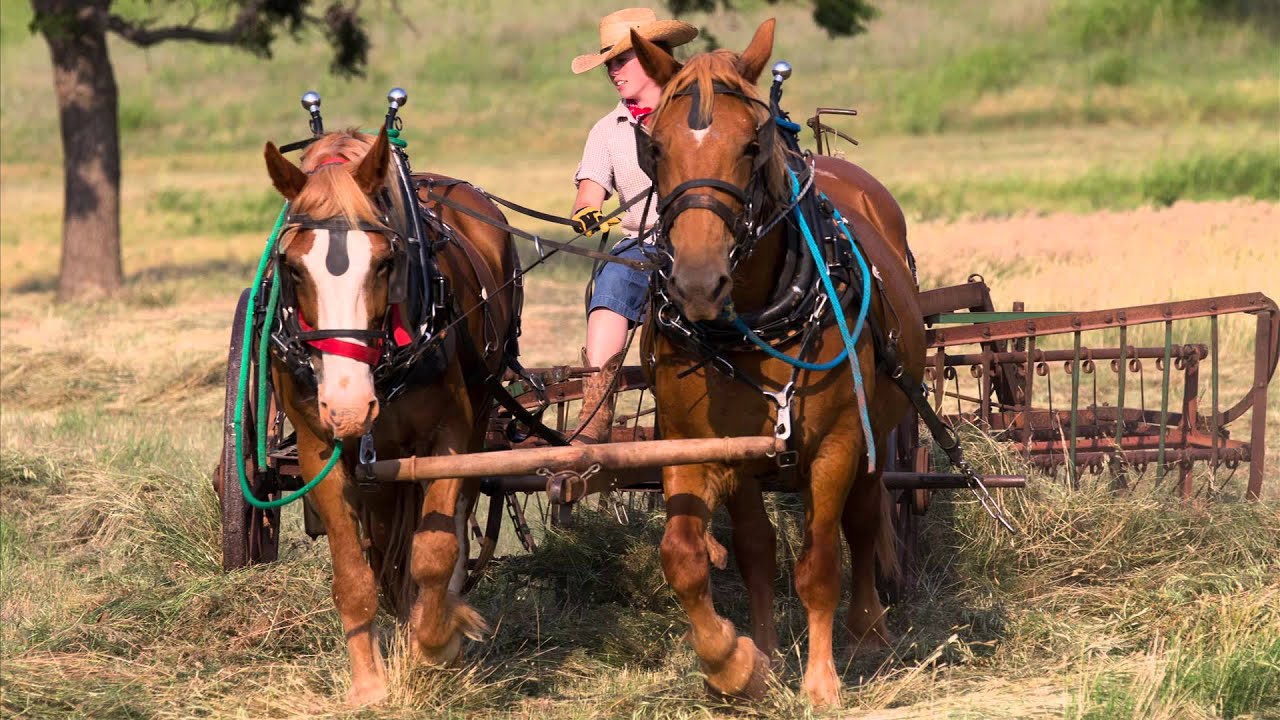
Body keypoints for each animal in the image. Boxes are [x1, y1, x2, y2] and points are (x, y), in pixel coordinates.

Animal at [261, 127, 518, 705]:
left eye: (384, 262)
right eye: (292, 268)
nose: (349, 405)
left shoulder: (450, 434)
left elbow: (435, 549)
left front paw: (434, 643)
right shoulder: (318, 447)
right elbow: (353, 572)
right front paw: (369, 684)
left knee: (455, 521)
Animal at [631, 22, 926, 707]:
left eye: (750, 144)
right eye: (654, 148)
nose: (697, 283)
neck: (751, 322)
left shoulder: (838, 443)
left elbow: (819, 565)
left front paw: (820, 681)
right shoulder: (696, 443)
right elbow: (697, 556)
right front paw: (741, 663)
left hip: (875, 430)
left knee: (864, 521)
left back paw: (869, 629)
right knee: (761, 548)